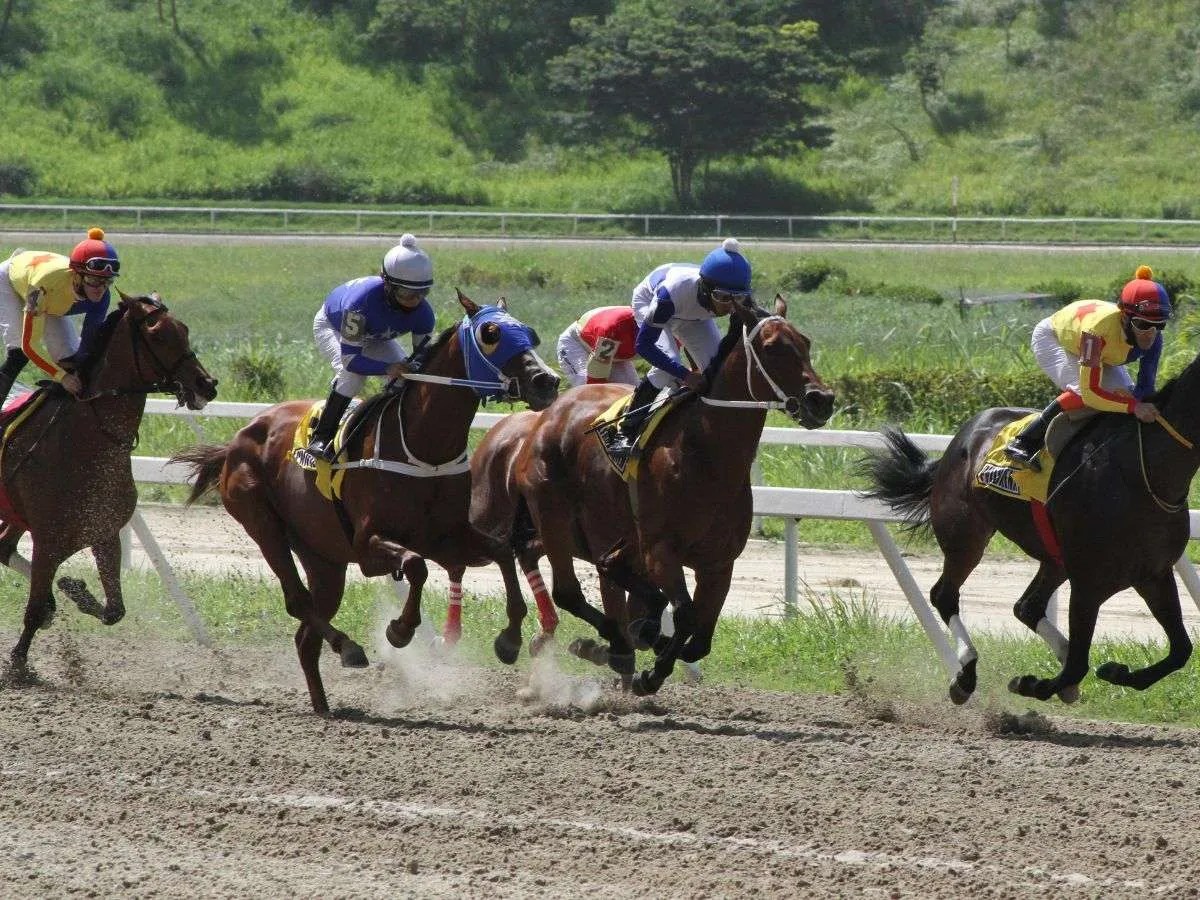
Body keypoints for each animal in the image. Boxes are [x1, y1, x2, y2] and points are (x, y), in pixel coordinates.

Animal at [2, 294, 217, 676]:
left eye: (185, 329)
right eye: (159, 335)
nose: (206, 384)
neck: (88, 439)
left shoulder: (103, 533)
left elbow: (114, 610)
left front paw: (74, 590)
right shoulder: (48, 541)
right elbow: (34, 608)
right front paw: (19, 664)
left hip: (15, 513)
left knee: (3, 547)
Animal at [174, 296, 556, 720]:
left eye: (530, 332)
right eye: (491, 334)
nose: (547, 381)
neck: (424, 447)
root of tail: (236, 441)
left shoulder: (448, 537)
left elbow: (502, 551)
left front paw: (509, 639)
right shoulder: (369, 543)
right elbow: (415, 567)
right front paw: (400, 630)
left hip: (323, 558)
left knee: (306, 634)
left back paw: (324, 703)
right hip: (263, 525)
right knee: (297, 601)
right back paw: (349, 647)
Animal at [468, 300, 835, 696]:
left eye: (806, 342)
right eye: (772, 347)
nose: (822, 400)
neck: (706, 456)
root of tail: (546, 416)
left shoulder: (719, 563)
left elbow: (699, 639)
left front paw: (640, 649)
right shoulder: (661, 551)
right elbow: (684, 615)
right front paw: (649, 673)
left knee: (563, 564)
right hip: (548, 515)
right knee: (558, 584)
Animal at [859, 348, 1200, 710]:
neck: (1142, 471)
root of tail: (964, 435)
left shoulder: (1154, 573)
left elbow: (1181, 650)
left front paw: (1116, 673)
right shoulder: (1088, 583)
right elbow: (1078, 665)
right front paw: (1033, 684)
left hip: (1055, 557)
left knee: (1027, 606)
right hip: (965, 535)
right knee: (945, 595)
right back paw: (965, 677)